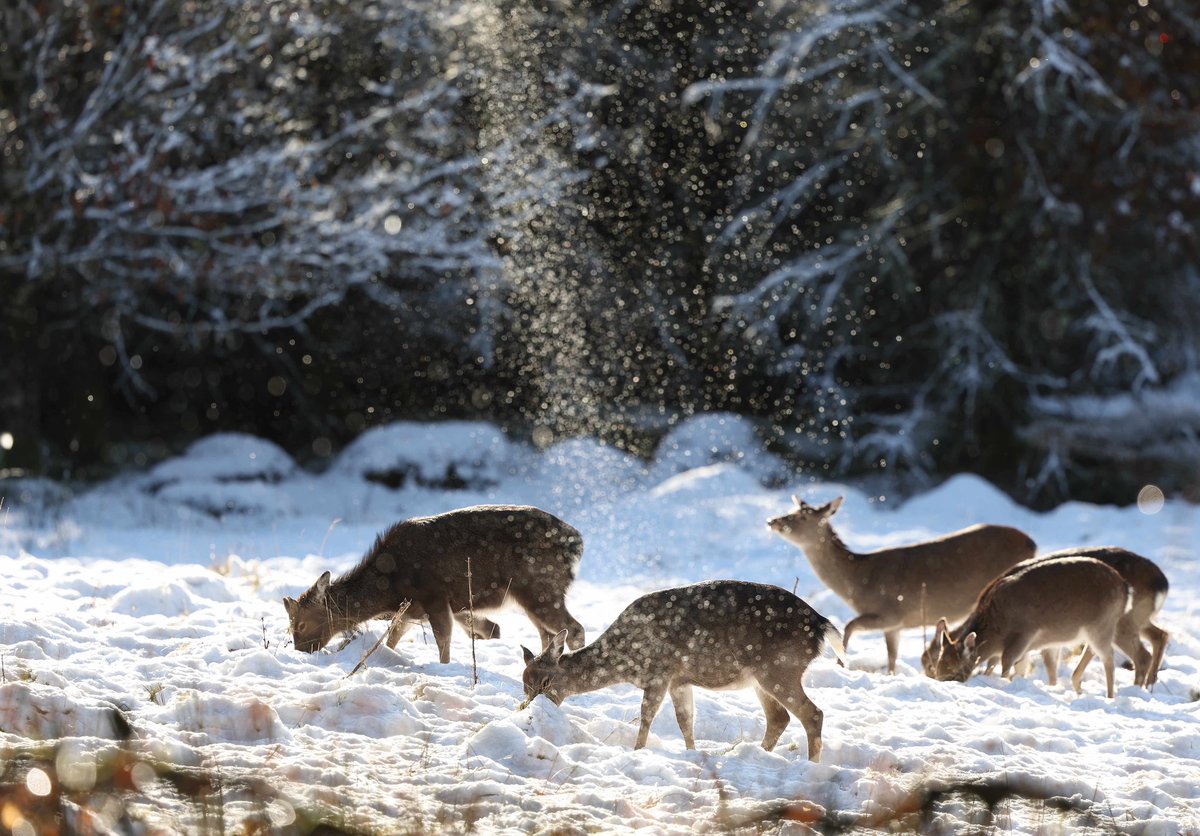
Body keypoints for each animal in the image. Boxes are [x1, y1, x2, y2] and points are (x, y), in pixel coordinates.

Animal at [283, 505, 586, 664]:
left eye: (301, 624)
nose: (300, 651)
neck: (391, 586)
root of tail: (576, 544)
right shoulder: (411, 608)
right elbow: (393, 637)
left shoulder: (435, 596)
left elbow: (444, 640)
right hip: (532, 595)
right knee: (549, 633)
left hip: (539, 586)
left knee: (575, 628)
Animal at [519, 580, 846, 761]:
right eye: (523, 683)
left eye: (545, 681)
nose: (528, 708)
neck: (625, 659)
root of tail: (822, 625)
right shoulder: (679, 680)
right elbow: (685, 720)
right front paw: (692, 753)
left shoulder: (659, 673)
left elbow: (647, 716)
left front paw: (637, 752)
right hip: (761, 678)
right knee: (779, 717)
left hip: (779, 668)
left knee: (812, 714)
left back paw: (811, 766)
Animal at [766, 496, 1036, 673]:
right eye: (792, 508)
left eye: (802, 516)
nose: (773, 521)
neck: (858, 582)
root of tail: (1032, 543)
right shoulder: (895, 625)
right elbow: (892, 656)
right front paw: (890, 675)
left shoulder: (891, 611)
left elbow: (850, 626)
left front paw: (841, 663)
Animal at [930, 547, 1168, 687]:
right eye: (937, 664)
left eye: (954, 669)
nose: (943, 681)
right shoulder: (1043, 644)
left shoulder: (1025, 633)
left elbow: (1006, 663)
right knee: (1159, 636)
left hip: (1120, 623)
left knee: (1137, 654)